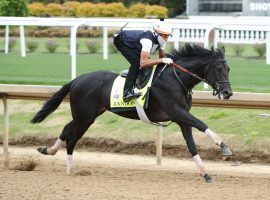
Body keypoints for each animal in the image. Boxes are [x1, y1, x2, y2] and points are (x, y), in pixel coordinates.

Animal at [31, 43, 233, 183]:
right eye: (219, 69)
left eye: (229, 69)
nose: (228, 93)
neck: (176, 79)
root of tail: (77, 79)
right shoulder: (177, 112)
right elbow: (201, 124)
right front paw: (224, 146)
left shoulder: (182, 119)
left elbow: (192, 146)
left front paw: (206, 174)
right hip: (85, 117)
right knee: (72, 138)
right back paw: (69, 169)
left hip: (86, 115)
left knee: (66, 129)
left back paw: (48, 150)